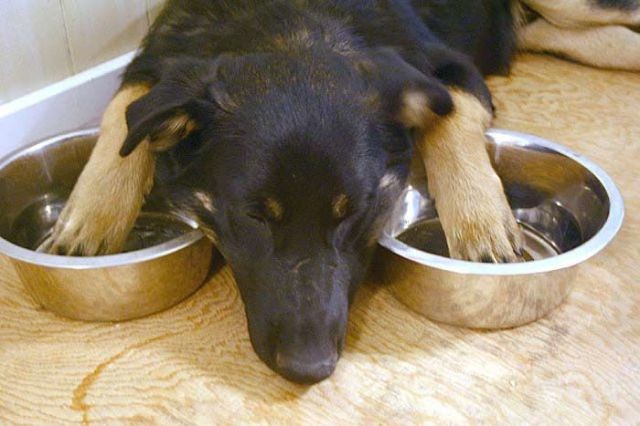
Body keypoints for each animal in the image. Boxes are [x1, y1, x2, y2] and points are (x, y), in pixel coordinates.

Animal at [40, 0, 640, 383]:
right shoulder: (154, 64)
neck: (290, 25)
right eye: (253, 217)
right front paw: (90, 217)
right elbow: (124, 114)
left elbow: (450, 118)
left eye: (359, 212)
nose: (309, 370)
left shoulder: (450, 70)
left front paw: (481, 220)